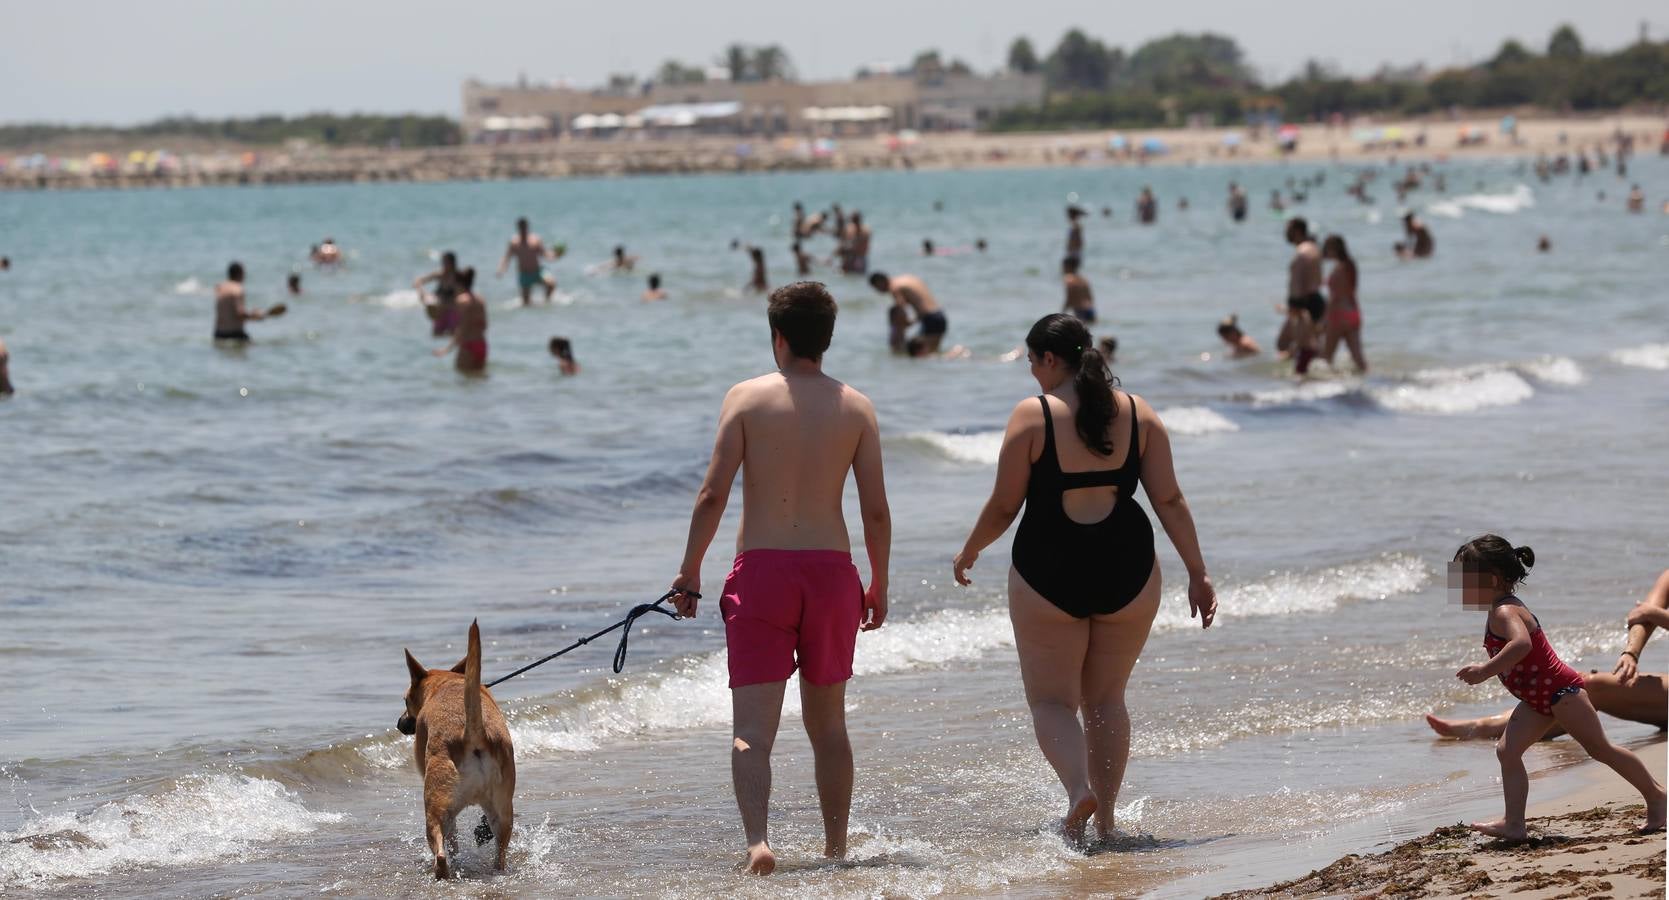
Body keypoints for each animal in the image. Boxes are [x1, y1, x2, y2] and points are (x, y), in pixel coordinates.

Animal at [398, 621, 514, 881]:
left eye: (405, 701)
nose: (399, 723)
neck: (445, 682)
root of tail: (472, 733)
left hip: (435, 803)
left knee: (441, 850)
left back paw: (442, 871)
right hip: (503, 809)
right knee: (500, 851)